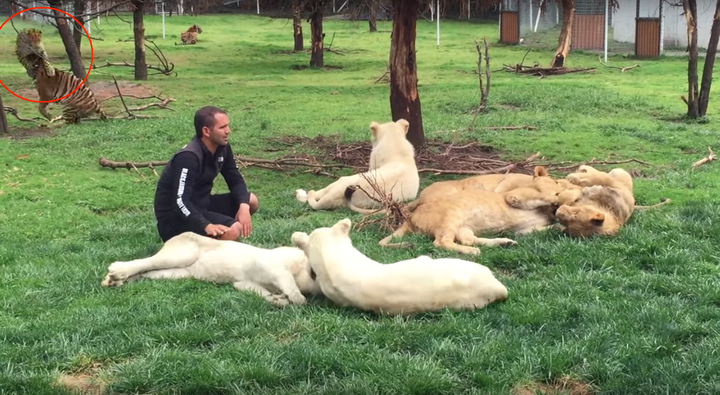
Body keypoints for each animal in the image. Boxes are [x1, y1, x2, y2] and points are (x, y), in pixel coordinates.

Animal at [102, 232, 324, 310]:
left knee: (146, 272)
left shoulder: (243, 283)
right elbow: (293, 290)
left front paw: (278, 300)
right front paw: (294, 298)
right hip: (179, 256)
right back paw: (116, 272)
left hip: (175, 272)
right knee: (145, 262)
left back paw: (112, 281)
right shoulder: (273, 266)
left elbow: (263, 293)